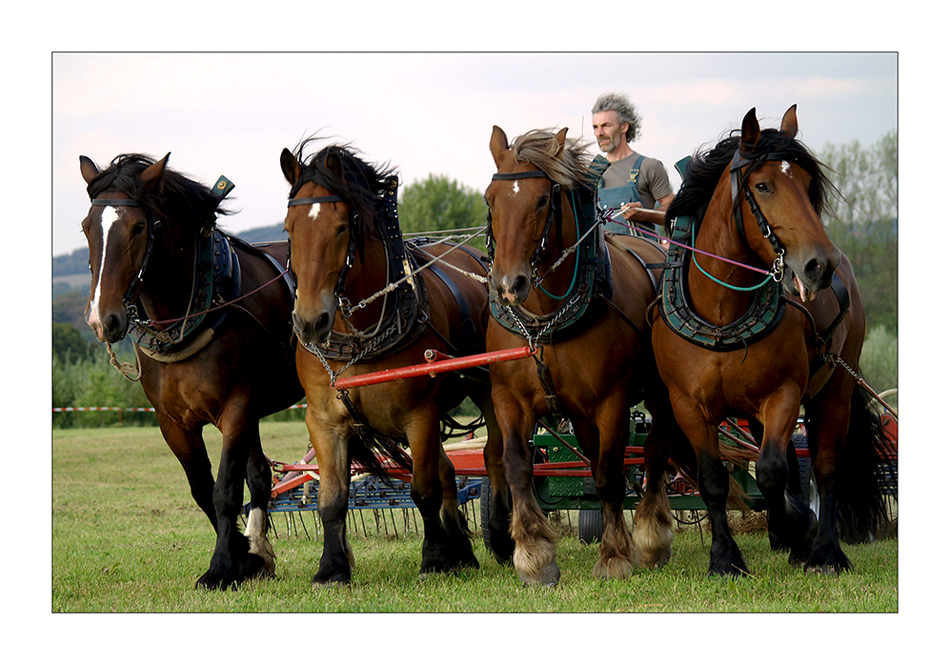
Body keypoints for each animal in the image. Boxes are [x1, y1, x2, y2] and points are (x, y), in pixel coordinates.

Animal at [78, 153, 302, 588]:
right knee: (260, 473)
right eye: (85, 227)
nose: (102, 319)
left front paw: (222, 567)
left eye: (139, 227)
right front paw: (245, 556)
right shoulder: (173, 422)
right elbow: (202, 488)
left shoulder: (236, 409)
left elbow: (226, 489)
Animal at [278, 141, 510, 588]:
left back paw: (503, 536)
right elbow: (332, 498)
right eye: (288, 228)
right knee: (449, 468)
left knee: (495, 455)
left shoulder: (419, 414)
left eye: (340, 227)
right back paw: (463, 550)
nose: (310, 321)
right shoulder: (323, 420)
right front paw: (331, 568)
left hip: (488, 387)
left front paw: (434, 557)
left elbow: (423, 489)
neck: (358, 340)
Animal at [488, 127, 688, 584]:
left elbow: (611, 474)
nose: (509, 285)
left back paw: (651, 537)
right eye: (491, 198)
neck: (546, 321)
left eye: (541, 200)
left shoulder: (611, 400)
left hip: (659, 394)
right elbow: (517, 466)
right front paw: (534, 555)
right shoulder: (509, 397)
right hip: (578, 412)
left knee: (655, 450)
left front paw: (614, 555)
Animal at [656, 106, 892, 572]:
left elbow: (770, 470)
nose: (820, 264)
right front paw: (725, 559)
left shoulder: (784, 394)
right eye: (763, 186)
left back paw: (824, 550)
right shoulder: (686, 405)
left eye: (806, 185)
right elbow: (713, 479)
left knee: (825, 465)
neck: (722, 317)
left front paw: (798, 527)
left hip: (834, 389)